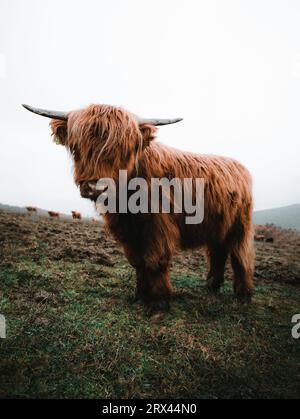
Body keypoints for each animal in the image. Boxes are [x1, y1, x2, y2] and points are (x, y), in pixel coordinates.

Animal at [22, 104, 254, 316]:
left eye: (123, 149)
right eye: (77, 147)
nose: (96, 187)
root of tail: (237, 165)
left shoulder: (159, 227)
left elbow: (155, 261)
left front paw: (159, 304)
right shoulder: (128, 232)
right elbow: (138, 262)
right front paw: (140, 296)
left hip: (240, 225)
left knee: (240, 256)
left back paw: (243, 297)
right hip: (217, 226)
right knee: (218, 252)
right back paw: (212, 287)